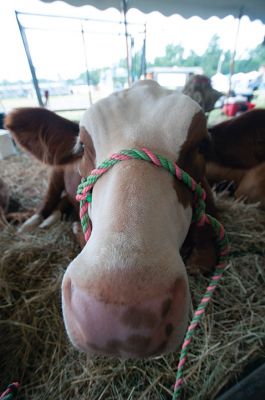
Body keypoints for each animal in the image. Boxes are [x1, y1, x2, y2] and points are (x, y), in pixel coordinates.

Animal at [5, 80, 219, 356]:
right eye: (83, 146)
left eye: (201, 144)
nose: (114, 317)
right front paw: (74, 228)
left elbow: (204, 259)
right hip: (55, 173)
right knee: (48, 201)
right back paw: (33, 222)